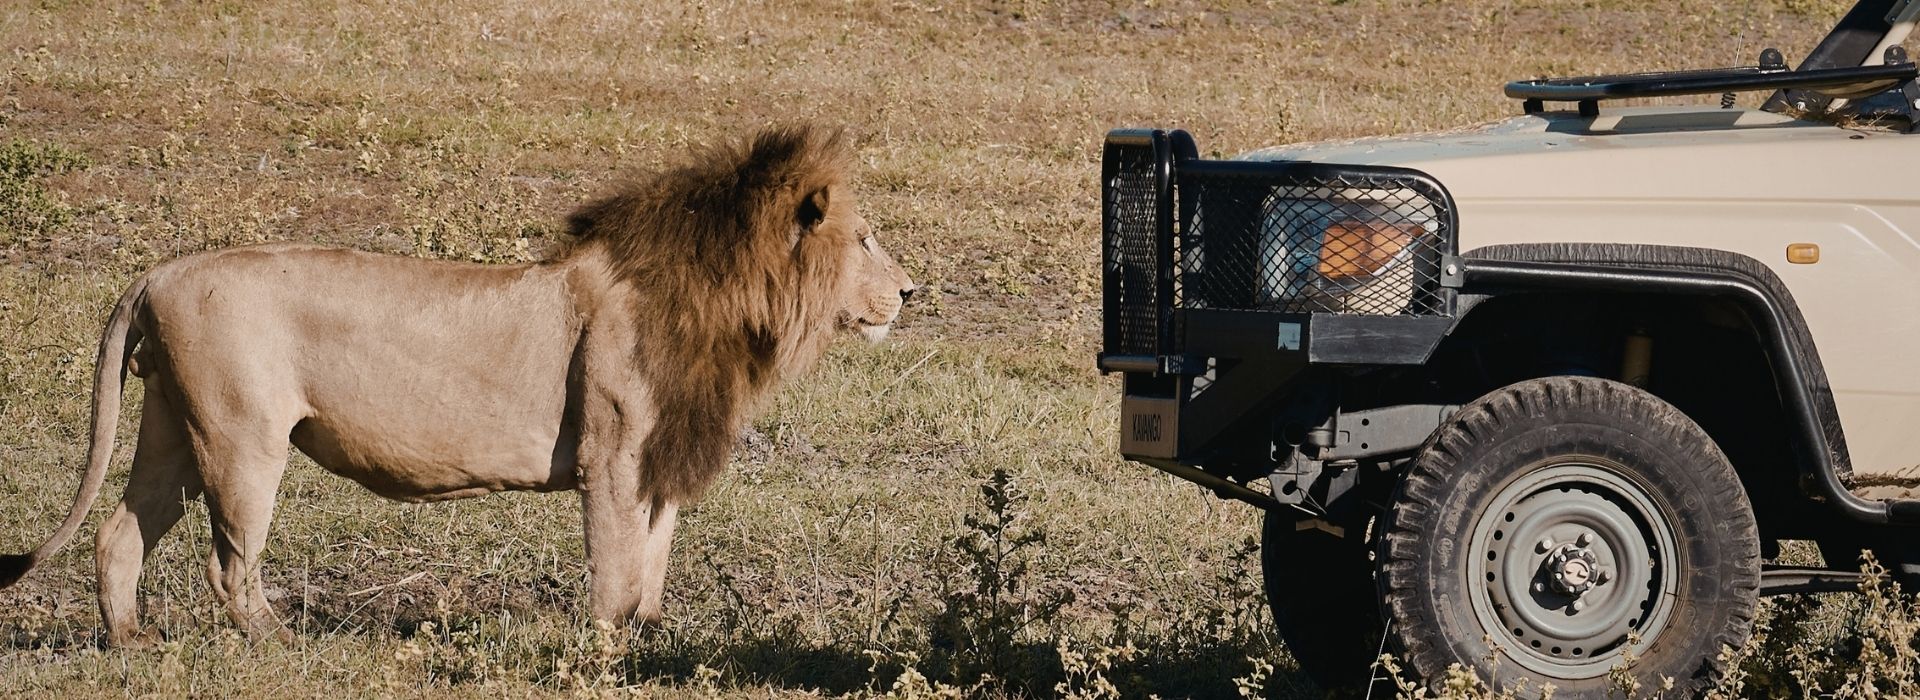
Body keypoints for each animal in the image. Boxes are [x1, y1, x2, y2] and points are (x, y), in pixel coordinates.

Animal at [0, 124, 915, 646]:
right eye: (867, 238)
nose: (911, 291)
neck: (729, 307)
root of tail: (157, 272)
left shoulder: (660, 455)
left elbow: (654, 559)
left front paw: (651, 644)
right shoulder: (615, 454)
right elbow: (617, 564)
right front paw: (606, 650)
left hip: (172, 427)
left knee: (119, 533)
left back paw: (131, 643)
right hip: (239, 439)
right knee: (231, 565)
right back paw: (281, 643)